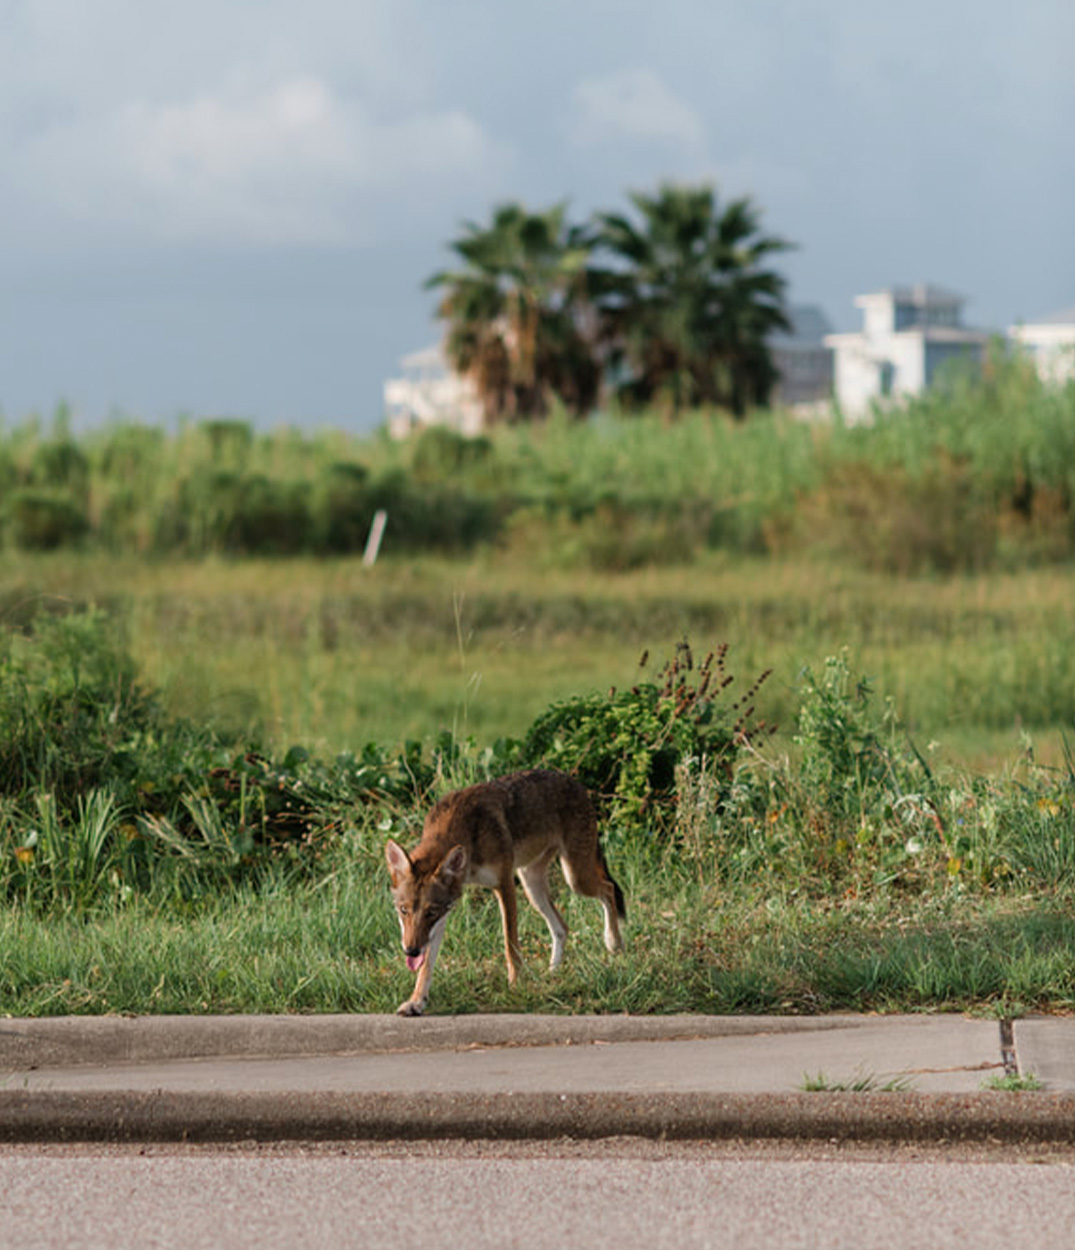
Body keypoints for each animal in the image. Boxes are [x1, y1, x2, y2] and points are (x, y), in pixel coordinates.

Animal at [384, 769, 625, 1016]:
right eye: (404, 910)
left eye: (430, 912)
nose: (411, 951)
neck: (469, 833)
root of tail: (575, 782)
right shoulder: (446, 913)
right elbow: (426, 968)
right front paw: (416, 1001)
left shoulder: (505, 885)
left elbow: (511, 946)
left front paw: (516, 987)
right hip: (533, 887)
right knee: (562, 928)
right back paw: (552, 973)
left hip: (574, 878)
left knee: (608, 890)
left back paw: (613, 943)